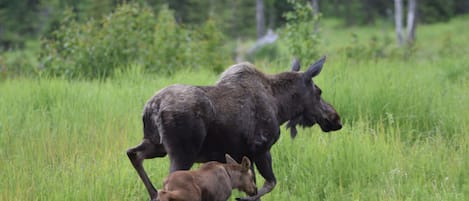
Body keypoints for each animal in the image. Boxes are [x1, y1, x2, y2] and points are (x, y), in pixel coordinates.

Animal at [127, 55, 340, 200]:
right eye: (319, 92)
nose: (336, 119)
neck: (281, 107)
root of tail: (152, 107)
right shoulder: (260, 147)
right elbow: (269, 184)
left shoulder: (243, 154)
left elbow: (256, 184)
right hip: (182, 151)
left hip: (156, 144)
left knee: (133, 154)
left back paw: (152, 192)